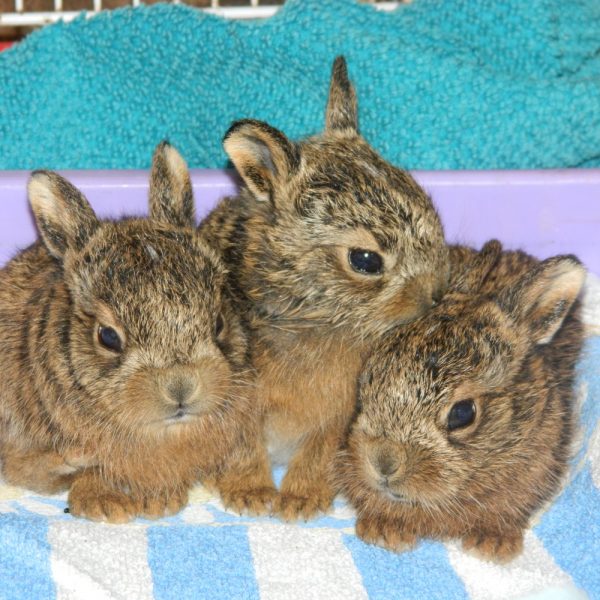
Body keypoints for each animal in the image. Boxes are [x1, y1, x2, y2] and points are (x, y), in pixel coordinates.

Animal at [202, 55, 450, 520]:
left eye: (430, 209)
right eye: (365, 261)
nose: (434, 294)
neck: (312, 311)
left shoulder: (337, 417)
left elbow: (318, 452)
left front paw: (300, 501)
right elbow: (242, 447)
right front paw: (250, 496)